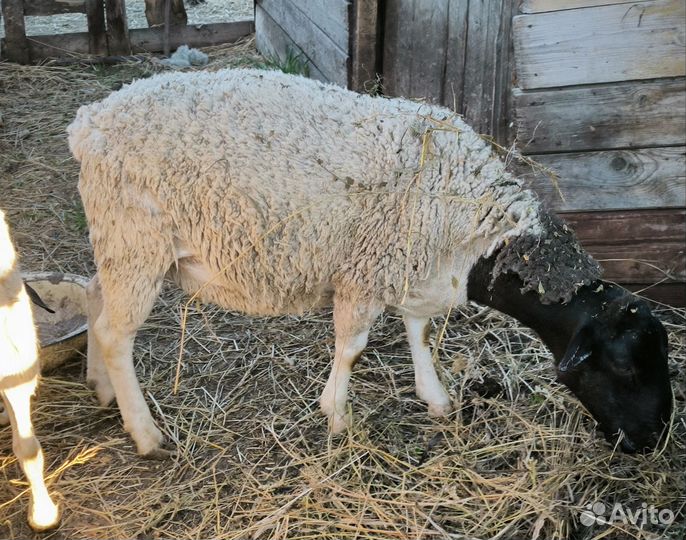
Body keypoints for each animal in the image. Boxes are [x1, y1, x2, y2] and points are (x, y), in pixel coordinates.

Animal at [67, 68, 672, 457]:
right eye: (624, 366)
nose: (652, 441)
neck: (474, 235)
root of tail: (88, 119)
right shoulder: (365, 270)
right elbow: (353, 348)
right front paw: (336, 416)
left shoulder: (411, 267)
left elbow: (420, 333)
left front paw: (436, 399)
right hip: (136, 238)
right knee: (117, 333)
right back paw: (146, 434)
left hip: (120, 241)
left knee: (95, 302)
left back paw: (102, 390)